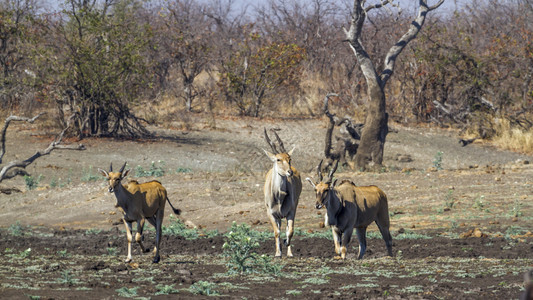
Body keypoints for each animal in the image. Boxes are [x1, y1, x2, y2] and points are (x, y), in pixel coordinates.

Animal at [262, 127, 302, 256]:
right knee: (279, 229)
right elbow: (276, 232)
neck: (279, 197)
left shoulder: (291, 212)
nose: (290, 172)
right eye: (278, 159)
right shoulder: (271, 214)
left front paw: (286, 245)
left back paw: (288, 252)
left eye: (290, 159)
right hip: (278, 216)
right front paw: (278, 253)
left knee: (287, 229)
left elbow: (290, 231)